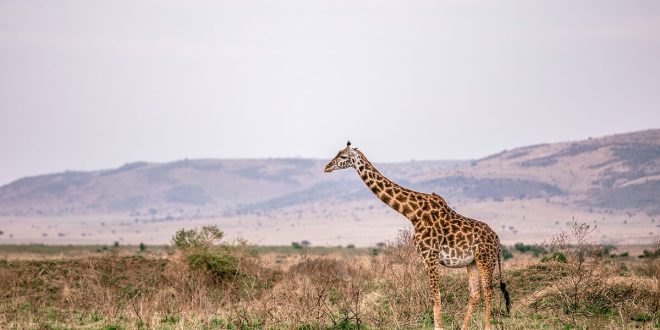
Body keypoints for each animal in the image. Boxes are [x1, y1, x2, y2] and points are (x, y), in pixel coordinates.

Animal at [324, 141, 510, 330]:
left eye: (343, 156)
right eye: (338, 153)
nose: (327, 167)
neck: (413, 213)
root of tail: (498, 241)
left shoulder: (430, 256)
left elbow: (436, 295)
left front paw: (438, 327)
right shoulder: (425, 257)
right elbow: (435, 295)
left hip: (485, 259)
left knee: (489, 291)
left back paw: (487, 326)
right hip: (472, 263)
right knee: (475, 293)